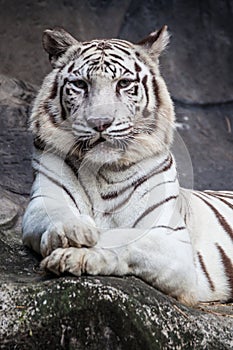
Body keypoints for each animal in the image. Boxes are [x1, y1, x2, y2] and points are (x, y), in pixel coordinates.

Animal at [21, 26, 233, 304]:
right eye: (80, 84)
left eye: (123, 83)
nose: (100, 123)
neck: (100, 171)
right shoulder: (43, 200)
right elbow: (57, 214)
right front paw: (74, 232)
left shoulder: (171, 239)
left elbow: (123, 237)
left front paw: (76, 254)